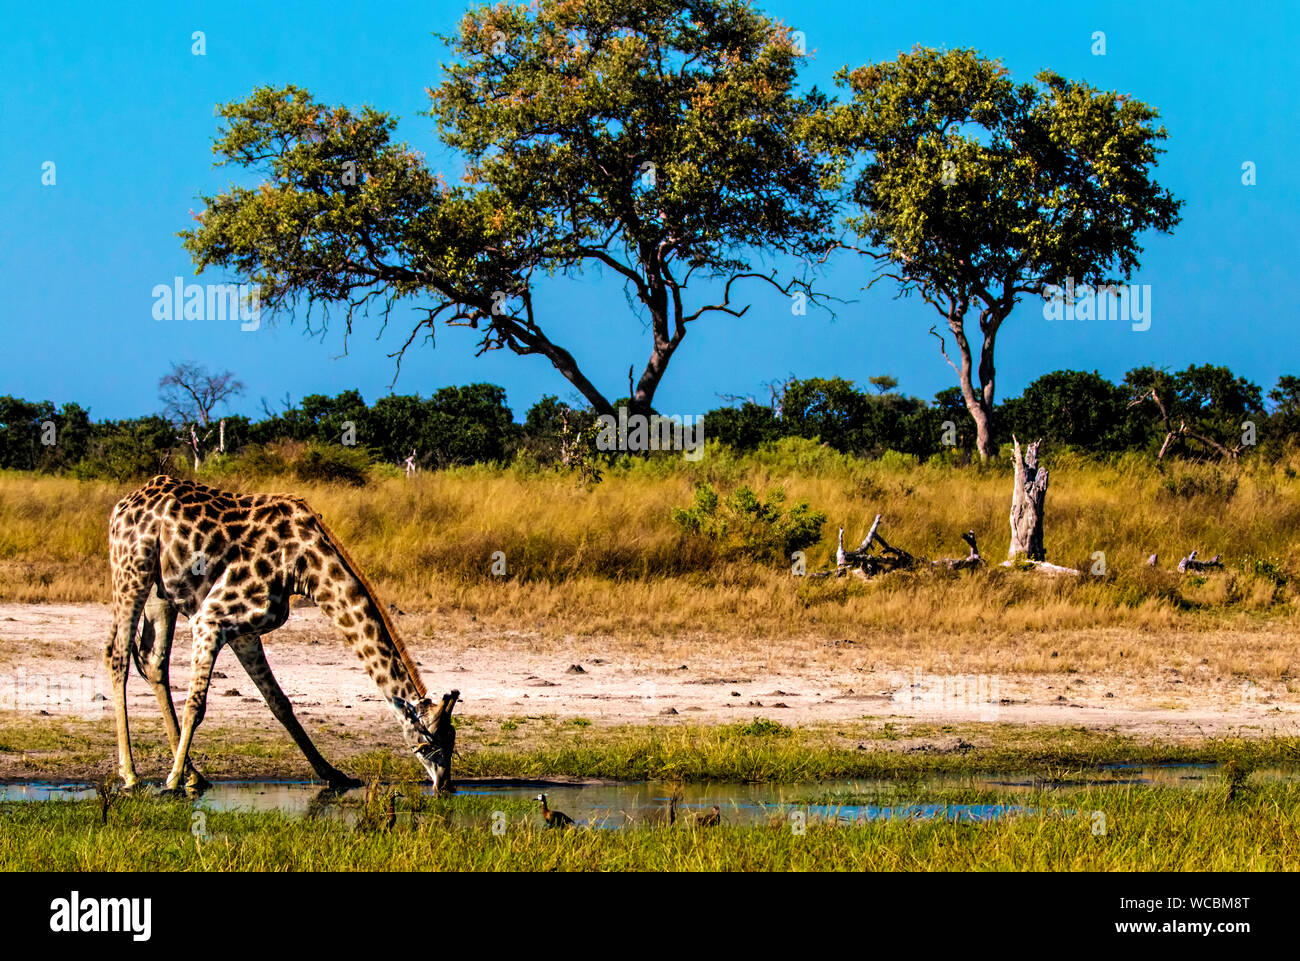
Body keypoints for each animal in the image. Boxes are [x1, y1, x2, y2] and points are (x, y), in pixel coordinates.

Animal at [106, 473, 462, 795]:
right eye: (431, 741)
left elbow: (280, 703)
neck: (303, 568)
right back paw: (132, 776)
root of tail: (123, 504)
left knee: (153, 661)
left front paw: (334, 774)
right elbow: (196, 704)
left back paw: (194, 776)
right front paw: (171, 781)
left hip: (161, 592)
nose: (443, 785)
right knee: (118, 656)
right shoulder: (210, 619)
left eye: (453, 739)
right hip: (131, 571)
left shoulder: (243, 632)